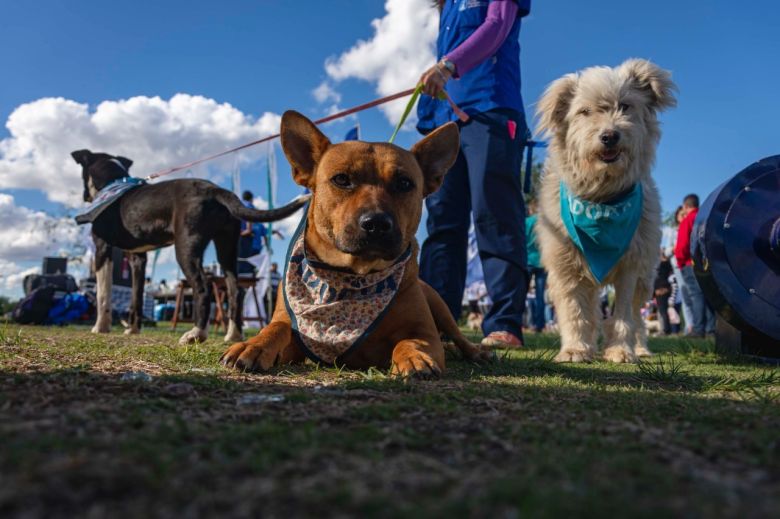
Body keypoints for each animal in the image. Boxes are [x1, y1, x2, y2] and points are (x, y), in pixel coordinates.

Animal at [71, 149, 306, 346]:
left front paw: (100, 327)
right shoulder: (138, 257)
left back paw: (197, 333)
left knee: (203, 288)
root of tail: (214, 189)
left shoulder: (102, 248)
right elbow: (136, 296)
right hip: (227, 249)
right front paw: (133, 329)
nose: (84, 196)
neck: (113, 183)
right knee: (235, 290)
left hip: (186, 247)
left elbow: (103, 293)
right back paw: (233, 334)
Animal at [219, 111, 490, 378]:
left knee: (458, 336)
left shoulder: (423, 331)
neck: (354, 275)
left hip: (439, 304)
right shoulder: (293, 336)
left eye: (404, 183)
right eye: (341, 179)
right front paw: (253, 344)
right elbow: (276, 328)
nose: (377, 223)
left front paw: (415, 358)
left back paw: (477, 351)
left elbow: (410, 341)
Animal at [536, 59, 676, 364]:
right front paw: (576, 349)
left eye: (625, 106)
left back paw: (640, 348)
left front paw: (621, 351)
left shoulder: (630, 266)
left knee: (638, 316)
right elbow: (576, 312)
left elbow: (624, 316)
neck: (602, 199)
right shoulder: (566, 265)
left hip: (646, 276)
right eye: (584, 112)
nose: (610, 136)